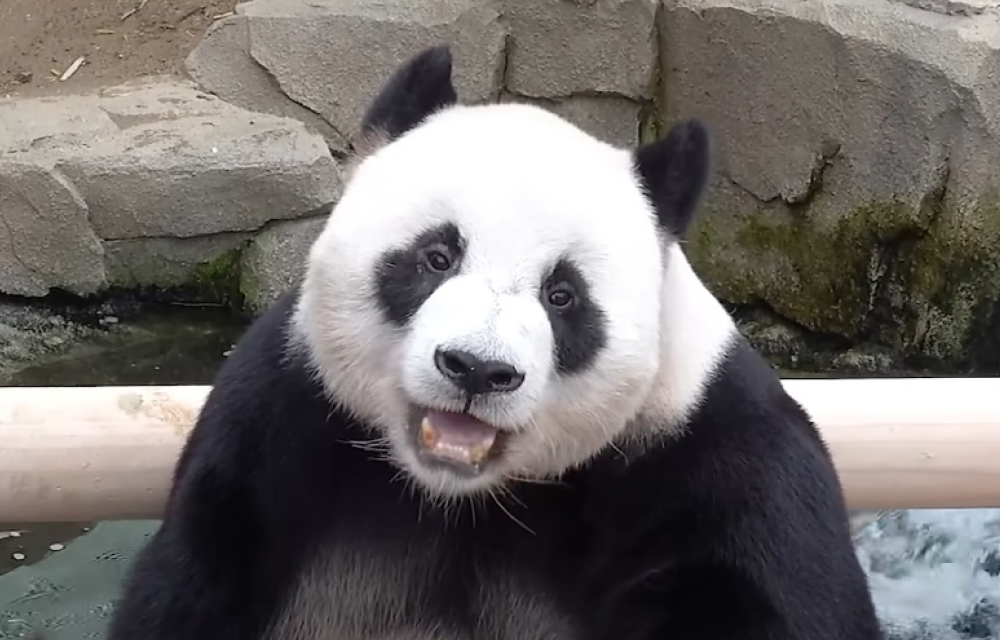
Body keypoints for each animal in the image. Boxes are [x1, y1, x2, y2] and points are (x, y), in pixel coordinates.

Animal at [107, 45, 883, 640]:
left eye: (562, 295)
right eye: (437, 256)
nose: (477, 370)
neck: (459, 497)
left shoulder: (713, 457)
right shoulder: (281, 419)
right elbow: (196, 577)